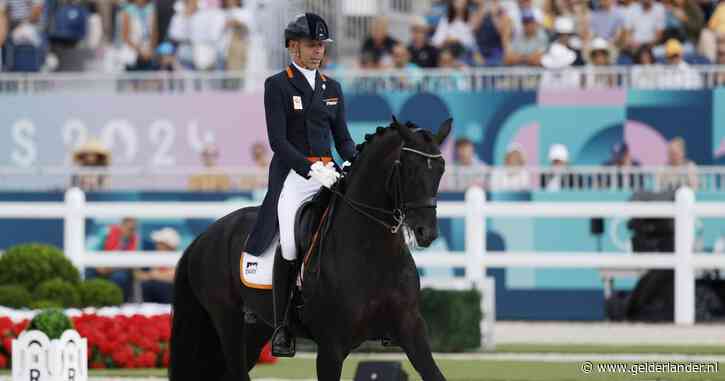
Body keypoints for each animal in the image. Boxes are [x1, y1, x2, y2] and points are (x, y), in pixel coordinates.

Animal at [170, 117, 452, 378]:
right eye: (410, 169)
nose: (427, 232)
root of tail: (206, 235)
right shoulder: (331, 347)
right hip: (228, 323)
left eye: (441, 170)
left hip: (255, 329)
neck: (372, 252)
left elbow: (434, 374)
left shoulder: (411, 330)